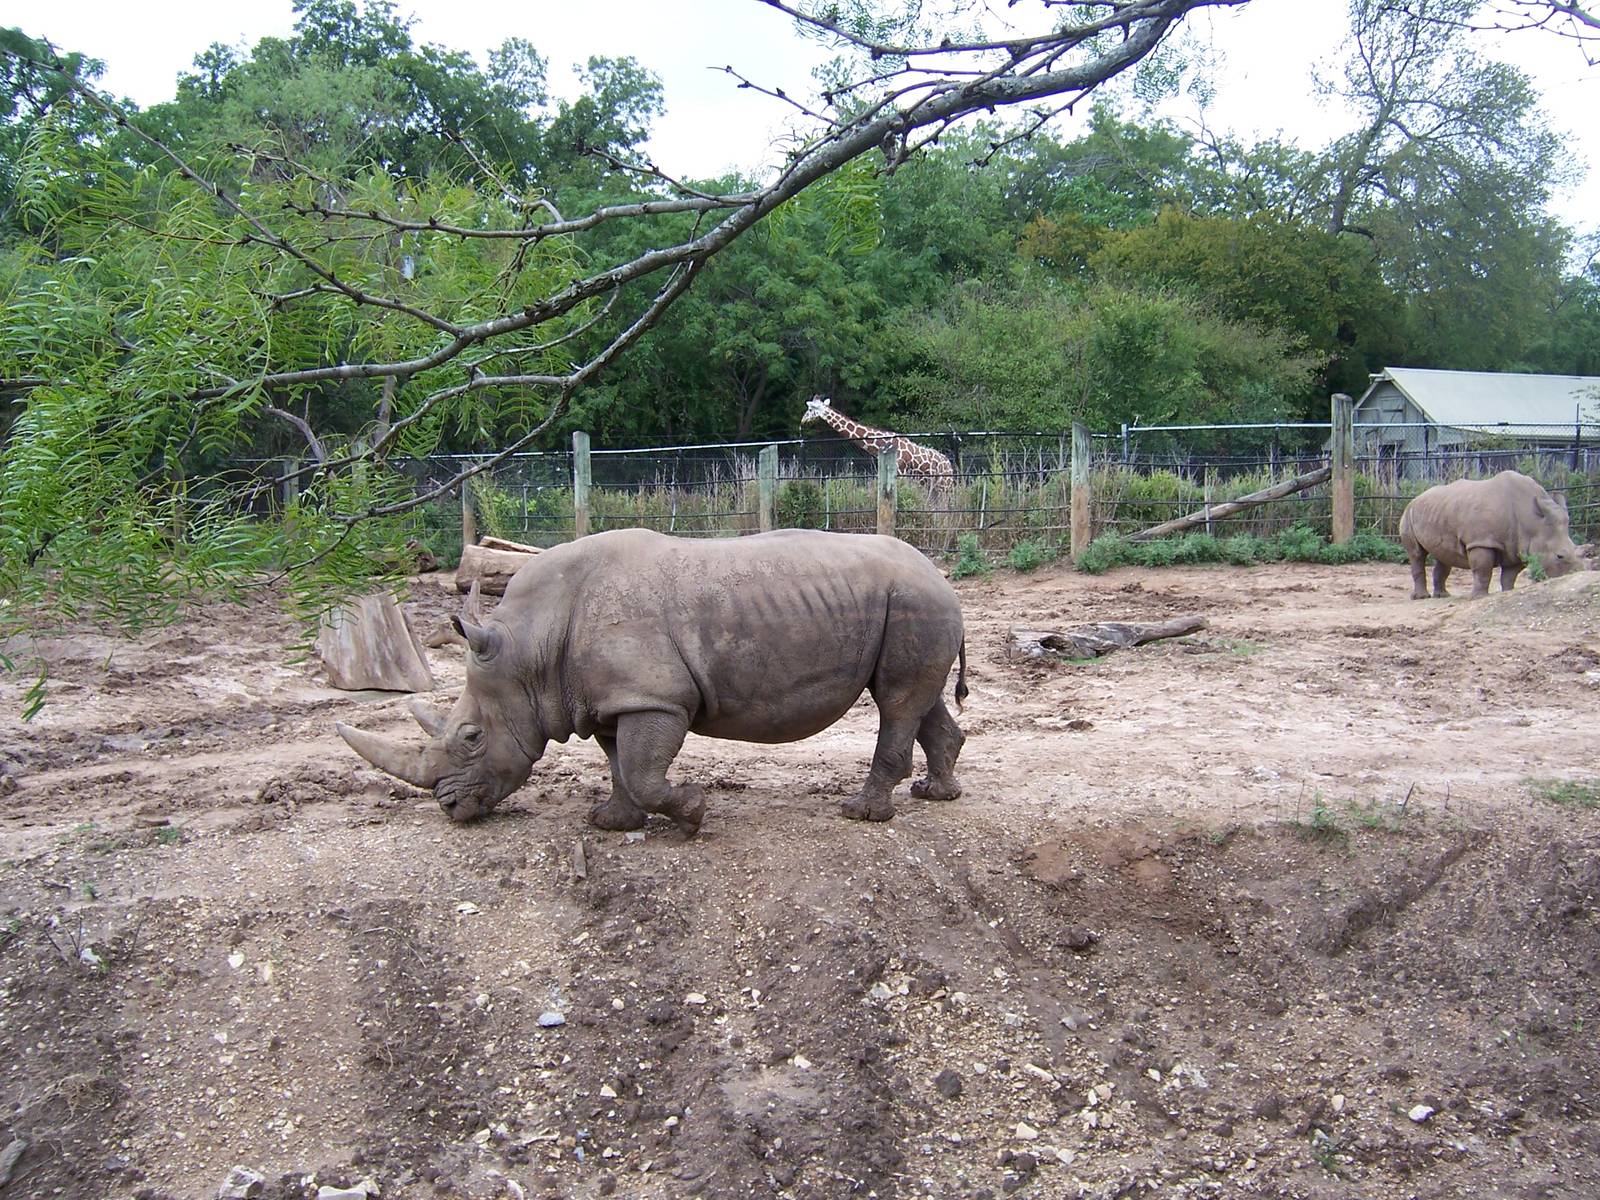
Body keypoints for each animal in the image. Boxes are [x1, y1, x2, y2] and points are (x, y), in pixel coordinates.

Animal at [338, 528, 968, 833]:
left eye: (471, 737)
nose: (449, 806)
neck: (530, 645)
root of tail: (940, 574)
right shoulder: (610, 700)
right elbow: (620, 765)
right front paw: (612, 824)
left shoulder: (654, 699)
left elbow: (643, 771)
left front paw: (692, 813)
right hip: (914, 600)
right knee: (918, 701)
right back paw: (935, 795)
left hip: (913, 600)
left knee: (896, 702)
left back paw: (861, 814)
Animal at [1398, 471, 1582, 600]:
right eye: (1559, 556)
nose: (1577, 574)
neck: (1533, 521)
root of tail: (1417, 497)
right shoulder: (1481, 541)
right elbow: (1482, 569)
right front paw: (1477, 597)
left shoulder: (1517, 546)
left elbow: (1510, 575)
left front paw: (1508, 592)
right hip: (1408, 513)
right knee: (1416, 554)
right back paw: (1421, 598)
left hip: (1438, 511)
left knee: (1443, 555)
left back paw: (1442, 596)